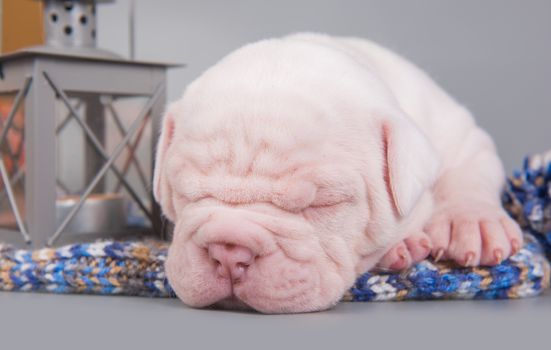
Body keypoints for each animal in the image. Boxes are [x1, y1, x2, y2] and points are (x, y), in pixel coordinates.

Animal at [153, 32, 524, 312]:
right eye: (186, 194)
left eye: (324, 204)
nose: (229, 254)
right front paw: (401, 245)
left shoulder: (460, 135)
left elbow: (467, 171)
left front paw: (471, 222)